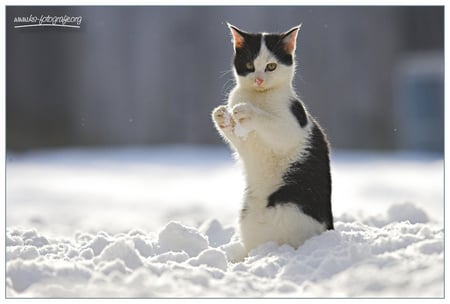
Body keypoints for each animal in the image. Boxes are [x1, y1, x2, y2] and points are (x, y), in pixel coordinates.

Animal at [212, 24, 334, 256]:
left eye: (271, 66)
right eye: (249, 65)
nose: (259, 79)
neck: (258, 97)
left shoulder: (292, 126)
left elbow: (273, 124)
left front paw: (248, 112)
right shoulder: (246, 144)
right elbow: (237, 138)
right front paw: (222, 116)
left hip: (290, 203)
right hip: (247, 214)